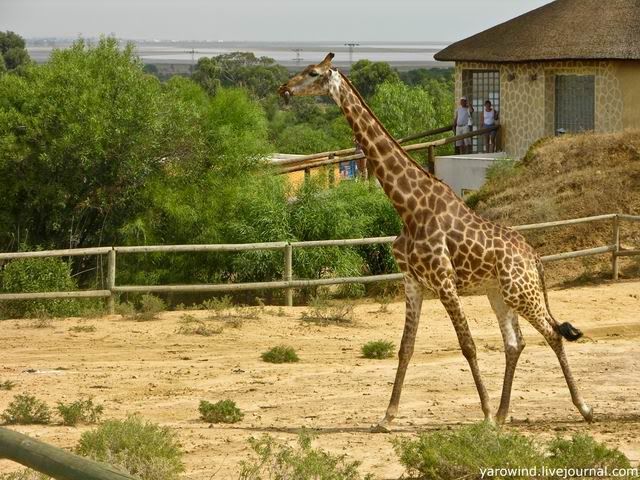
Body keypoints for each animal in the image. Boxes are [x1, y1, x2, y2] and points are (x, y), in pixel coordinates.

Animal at [278, 52, 592, 432]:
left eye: (313, 73)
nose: (283, 89)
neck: (409, 207)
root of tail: (535, 257)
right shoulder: (413, 282)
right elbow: (405, 347)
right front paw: (386, 417)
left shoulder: (444, 281)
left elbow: (468, 344)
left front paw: (485, 414)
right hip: (498, 293)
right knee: (514, 343)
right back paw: (505, 414)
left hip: (522, 292)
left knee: (552, 334)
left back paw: (582, 409)